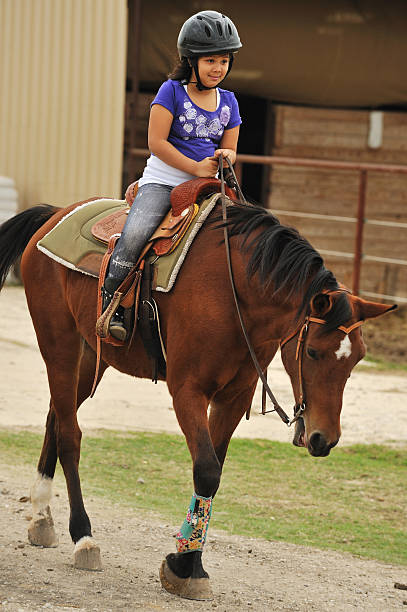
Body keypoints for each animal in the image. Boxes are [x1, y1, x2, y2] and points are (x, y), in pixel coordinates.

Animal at [0, 198, 396, 600]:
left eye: (358, 357)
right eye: (314, 352)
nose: (323, 439)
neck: (236, 292)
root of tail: (55, 213)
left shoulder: (234, 398)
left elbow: (214, 468)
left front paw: (189, 565)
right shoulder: (187, 391)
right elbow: (206, 470)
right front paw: (185, 567)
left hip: (91, 355)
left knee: (56, 416)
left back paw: (41, 517)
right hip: (59, 345)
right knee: (70, 435)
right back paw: (83, 536)